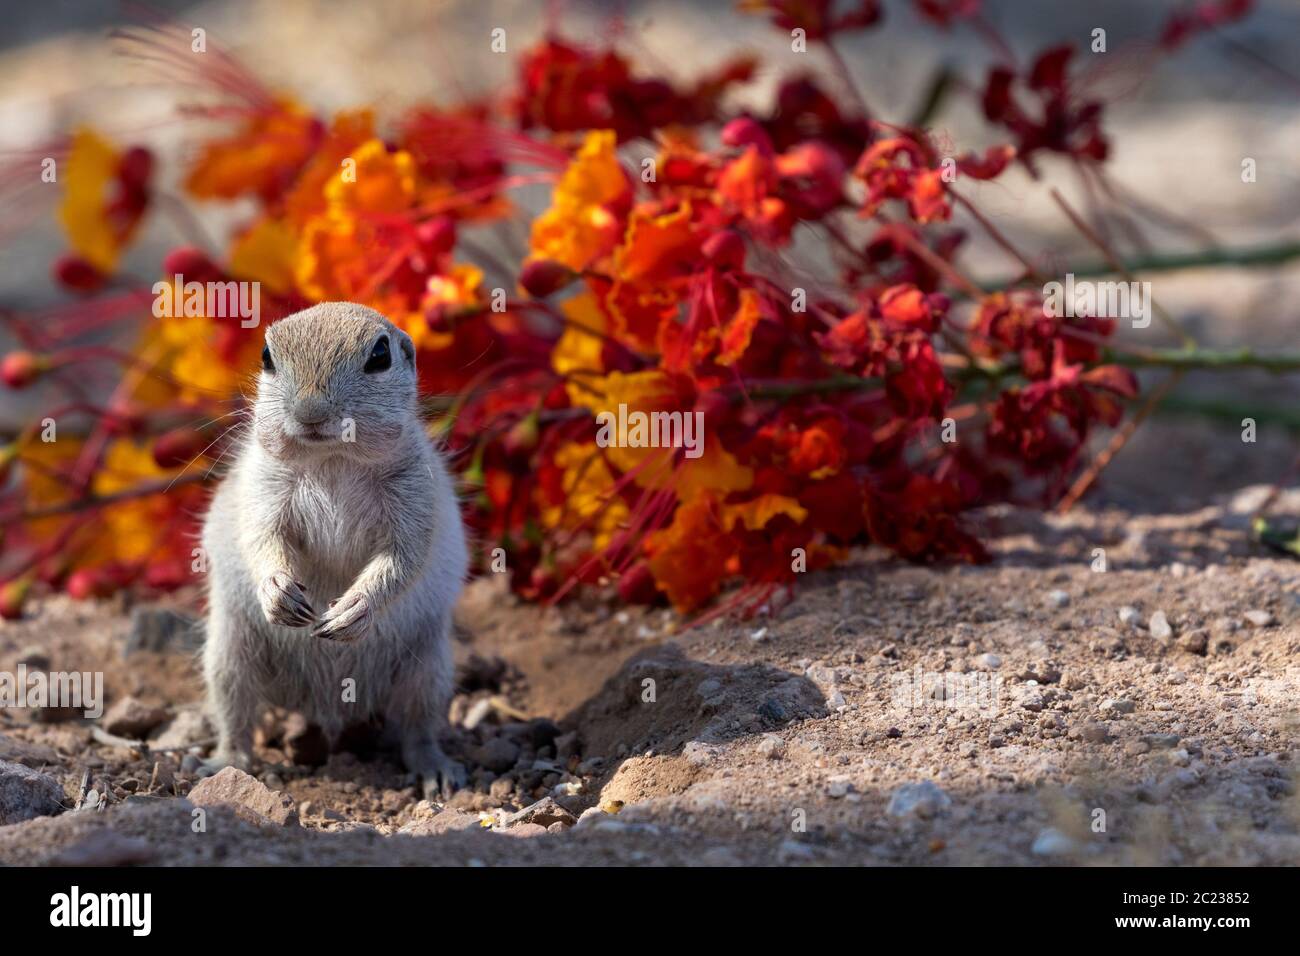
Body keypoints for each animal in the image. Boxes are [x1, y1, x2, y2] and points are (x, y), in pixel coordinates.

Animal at [200, 303, 470, 796]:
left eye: (380, 355)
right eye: (266, 356)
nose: (310, 412)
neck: (332, 458)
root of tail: (326, 703)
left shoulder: (415, 498)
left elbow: (402, 559)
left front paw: (351, 610)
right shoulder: (263, 490)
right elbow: (261, 539)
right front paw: (279, 594)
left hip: (429, 671)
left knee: (417, 729)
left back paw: (435, 769)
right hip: (229, 658)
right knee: (237, 718)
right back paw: (228, 763)